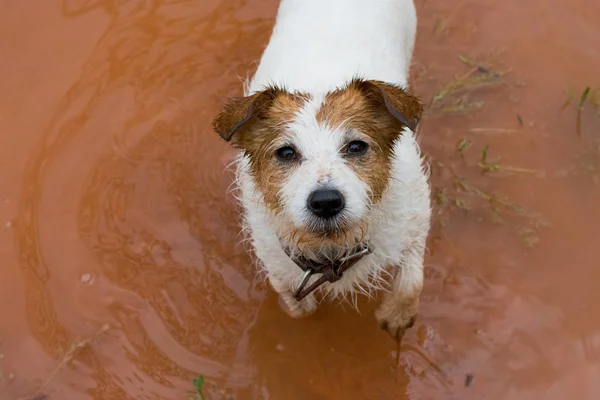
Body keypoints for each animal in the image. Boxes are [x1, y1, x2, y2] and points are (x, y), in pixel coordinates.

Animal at [213, 0, 428, 340]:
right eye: (286, 152)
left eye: (356, 146)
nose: (326, 201)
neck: (334, 248)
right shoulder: (274, 254)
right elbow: (291, 297)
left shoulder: (417, 216)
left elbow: (411, 280)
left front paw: (396, 314)